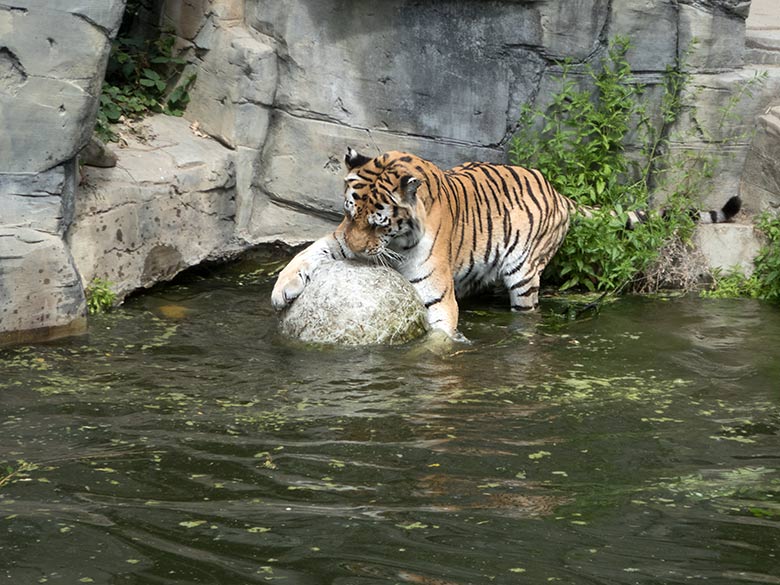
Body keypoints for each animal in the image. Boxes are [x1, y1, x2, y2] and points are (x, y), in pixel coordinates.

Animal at [272, 147, 740, 338]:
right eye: (350, 213)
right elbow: (308, 253)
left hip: (524, 275)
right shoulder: (337, 237)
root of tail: (558, 192)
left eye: (378, 223)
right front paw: (281, 291)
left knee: (529, 310)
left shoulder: (435, 291)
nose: (355, 252)